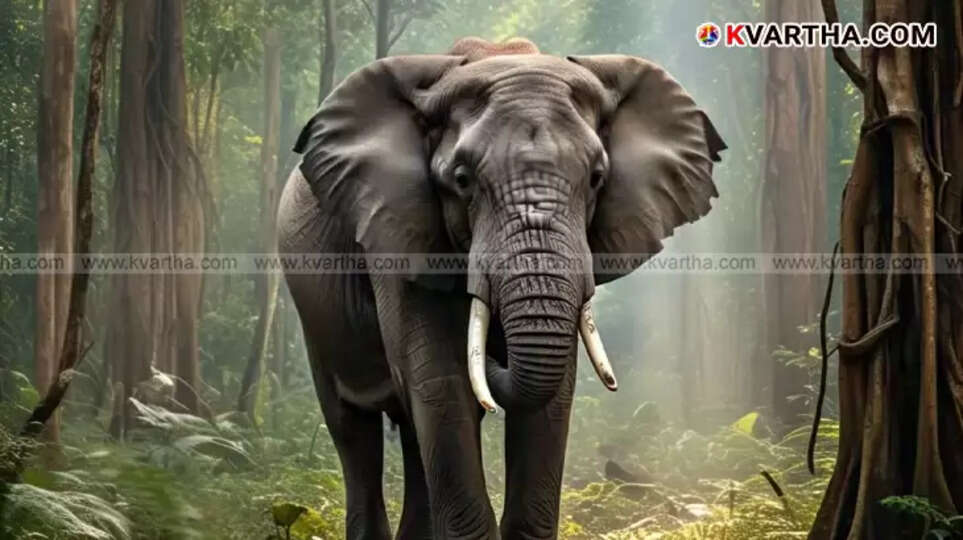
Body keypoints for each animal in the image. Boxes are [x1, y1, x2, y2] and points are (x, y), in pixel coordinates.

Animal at [278, 37, 725, 539]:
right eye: (461, 180)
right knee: (354, 430)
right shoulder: (397, 232)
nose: (495, 355)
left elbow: (551, 398)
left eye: (596, 179)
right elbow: (440, 380)